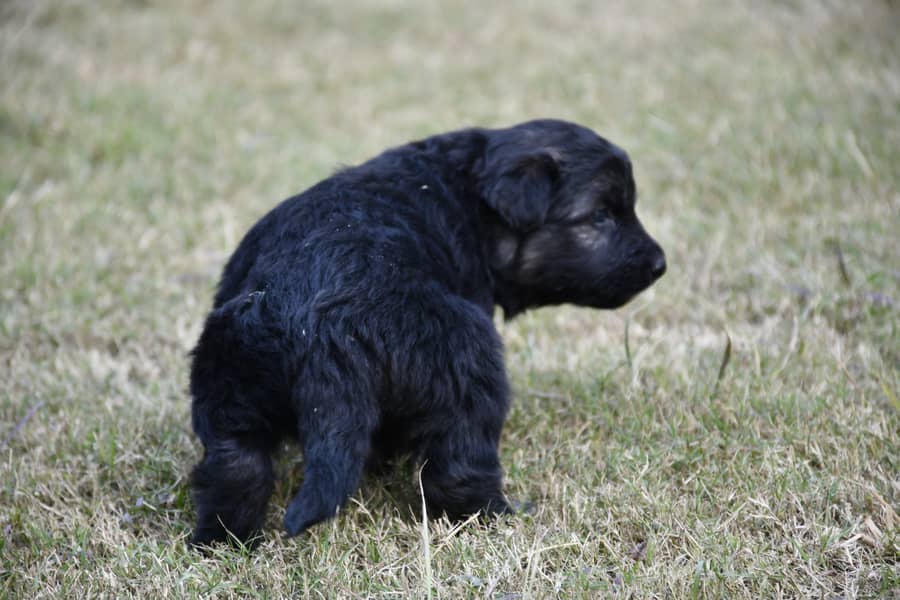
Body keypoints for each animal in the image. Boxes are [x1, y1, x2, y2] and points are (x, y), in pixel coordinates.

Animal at [188, 119, 668, 548]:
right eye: (601, 215)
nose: (660, 263)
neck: (471, 198)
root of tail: (317, 325)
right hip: (467, 359)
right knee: (458, 462)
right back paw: (497, 515)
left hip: (230, 382)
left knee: (236, 467)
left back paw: (222, 541)